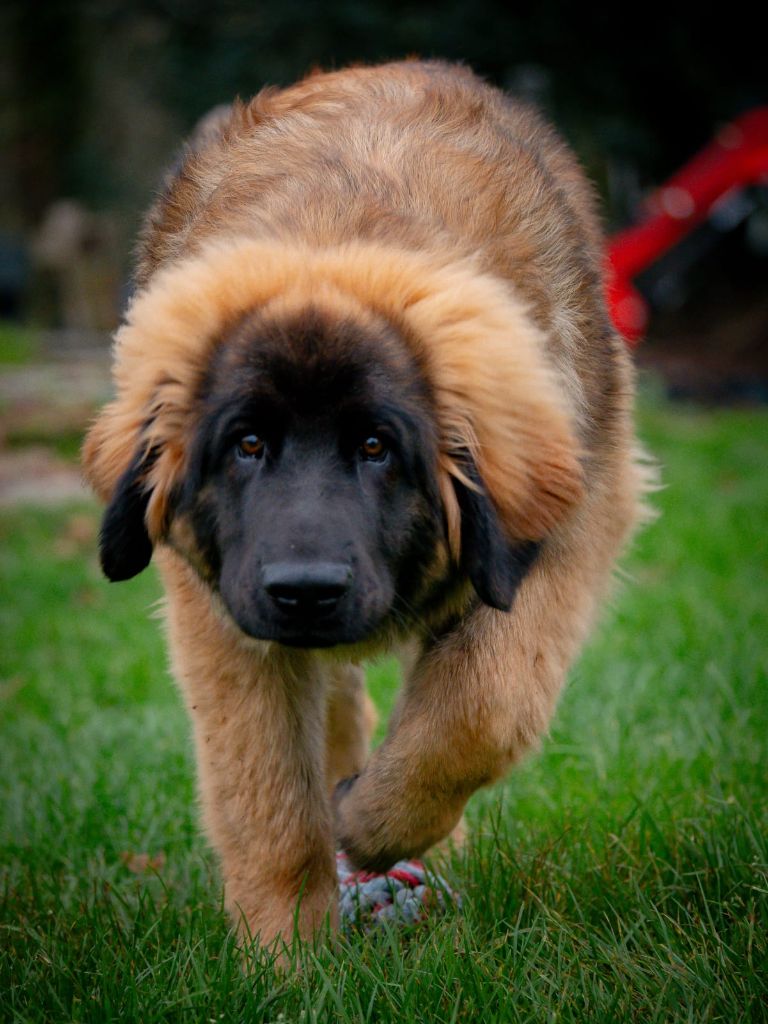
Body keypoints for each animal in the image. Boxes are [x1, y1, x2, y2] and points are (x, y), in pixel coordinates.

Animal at [82, 59, 651, 946]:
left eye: (378, 447)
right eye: (246, 444)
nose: (305, 590)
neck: (337, 237)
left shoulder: (572, 529)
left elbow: (484, 704)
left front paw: (376, 825)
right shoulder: (222, 609)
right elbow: (269, 795)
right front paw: (286, 955)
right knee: (336, 701)